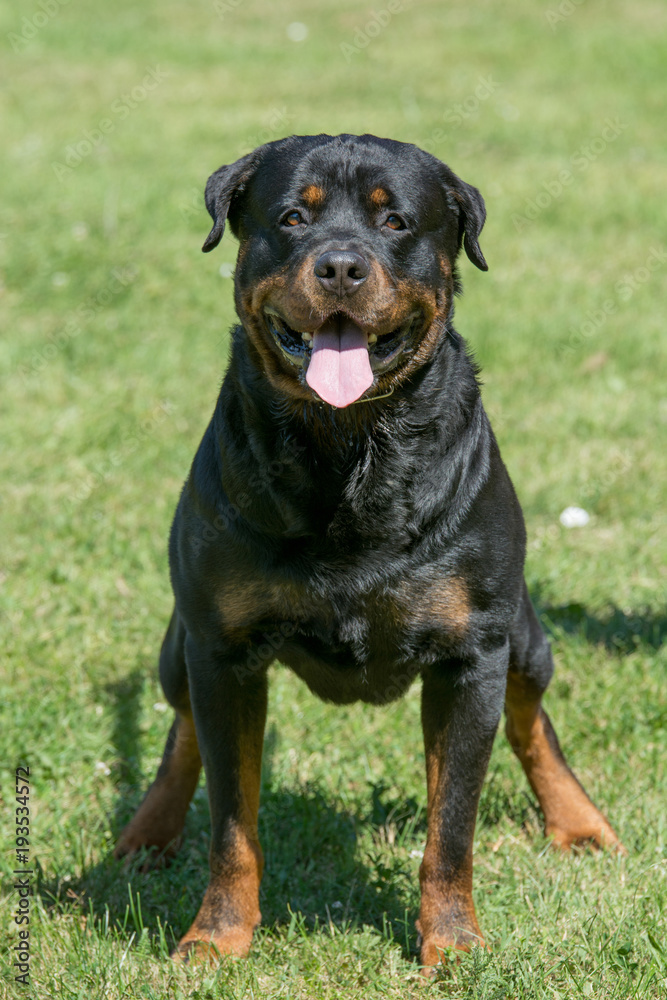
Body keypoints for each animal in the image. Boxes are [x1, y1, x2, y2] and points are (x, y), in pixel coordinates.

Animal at [117, 131, 624, 968]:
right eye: (292, 217)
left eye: (396, 224)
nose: (340, 267)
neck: (348, 447)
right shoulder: (221, 646)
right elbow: (231, 820)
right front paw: (216, 937)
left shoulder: (471, 654)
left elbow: (450, 826)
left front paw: (452, 943)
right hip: (179, 641)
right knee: (182, 728)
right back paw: (146, 833)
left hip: (523, 630)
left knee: (531, 719)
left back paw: (579, 824)